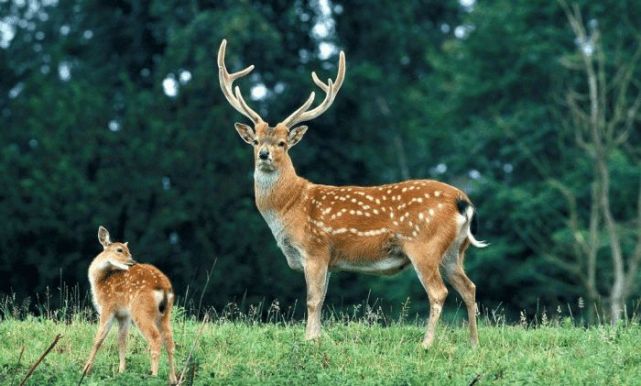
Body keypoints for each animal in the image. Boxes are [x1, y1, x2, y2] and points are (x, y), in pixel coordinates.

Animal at [83, 225, 178, 384]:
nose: (132, 261)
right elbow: (122, 341)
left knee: (155, 338)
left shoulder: (108, 307)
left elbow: (98, 339)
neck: (100, 281)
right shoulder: (124, 315)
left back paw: (153, 376)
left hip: (141, 309)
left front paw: (85, 370)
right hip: (165, 314)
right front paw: (121, 371)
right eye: (120, 250)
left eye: (129, 251)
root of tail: (163, 287)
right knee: (169, 341)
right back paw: (173, 379)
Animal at [218, 40, 488, 350]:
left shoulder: (315, 248)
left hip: (425, 245)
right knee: (469, 287)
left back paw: (427, 343)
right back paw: (474, 344)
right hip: (455, 250)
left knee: (438, 292)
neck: (290, 206)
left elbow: (312, 300)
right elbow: (322, 299)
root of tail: (463, 201)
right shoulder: (329, 260)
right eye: (256, 141)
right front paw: (317, 338)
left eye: (283, 143)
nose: (264, 155)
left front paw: (309, 341)